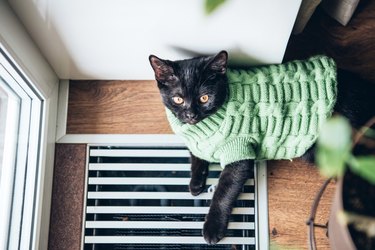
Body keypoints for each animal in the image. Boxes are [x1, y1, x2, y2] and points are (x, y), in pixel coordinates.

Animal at [149, 50, 375, 244]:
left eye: (204, 98)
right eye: (178, 99)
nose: (191, 115)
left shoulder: (239, 153)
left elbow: (223, 192)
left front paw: (213, 227)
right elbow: (196, 155)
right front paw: (195, 182)